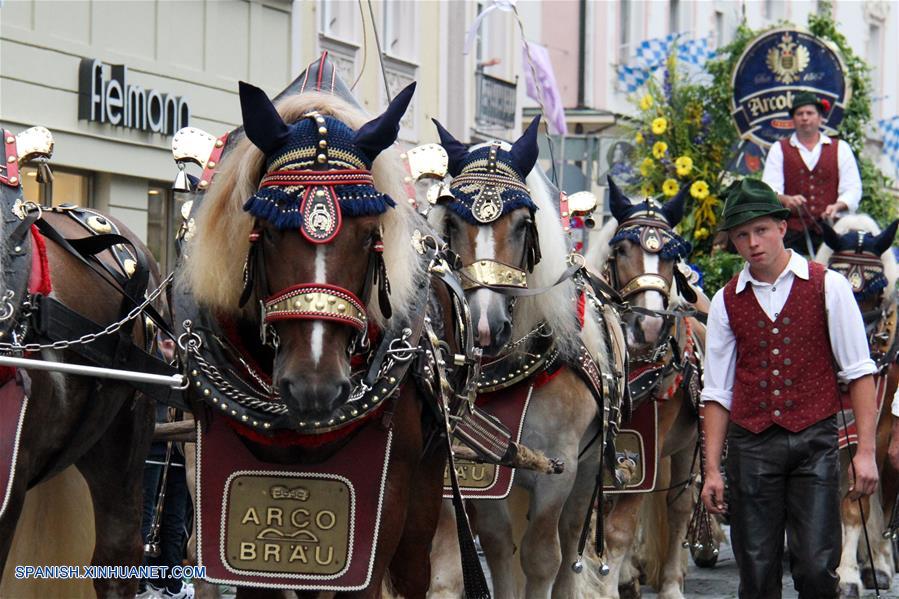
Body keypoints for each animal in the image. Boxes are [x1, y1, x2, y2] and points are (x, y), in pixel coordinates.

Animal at [175, 81, 486, 599]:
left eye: (369, 234)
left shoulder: (381, 503)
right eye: (270, 231)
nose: (315, 386)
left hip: (427, 483)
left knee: (414, 569)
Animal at [422, 118, 624, 599]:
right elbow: (499, 549)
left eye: (522, 224)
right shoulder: (484, 476)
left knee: (569, 547)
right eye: (451, 221)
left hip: (589, 467)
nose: (483, 327)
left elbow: (542, 558)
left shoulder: (559, 471)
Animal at [584, 179, 712, 599]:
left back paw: (670, 582)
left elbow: (620, 530)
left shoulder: (646, 446)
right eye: (622, 250)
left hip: (687, 446)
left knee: (678, 505)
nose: (650, 326)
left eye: (673, 257)